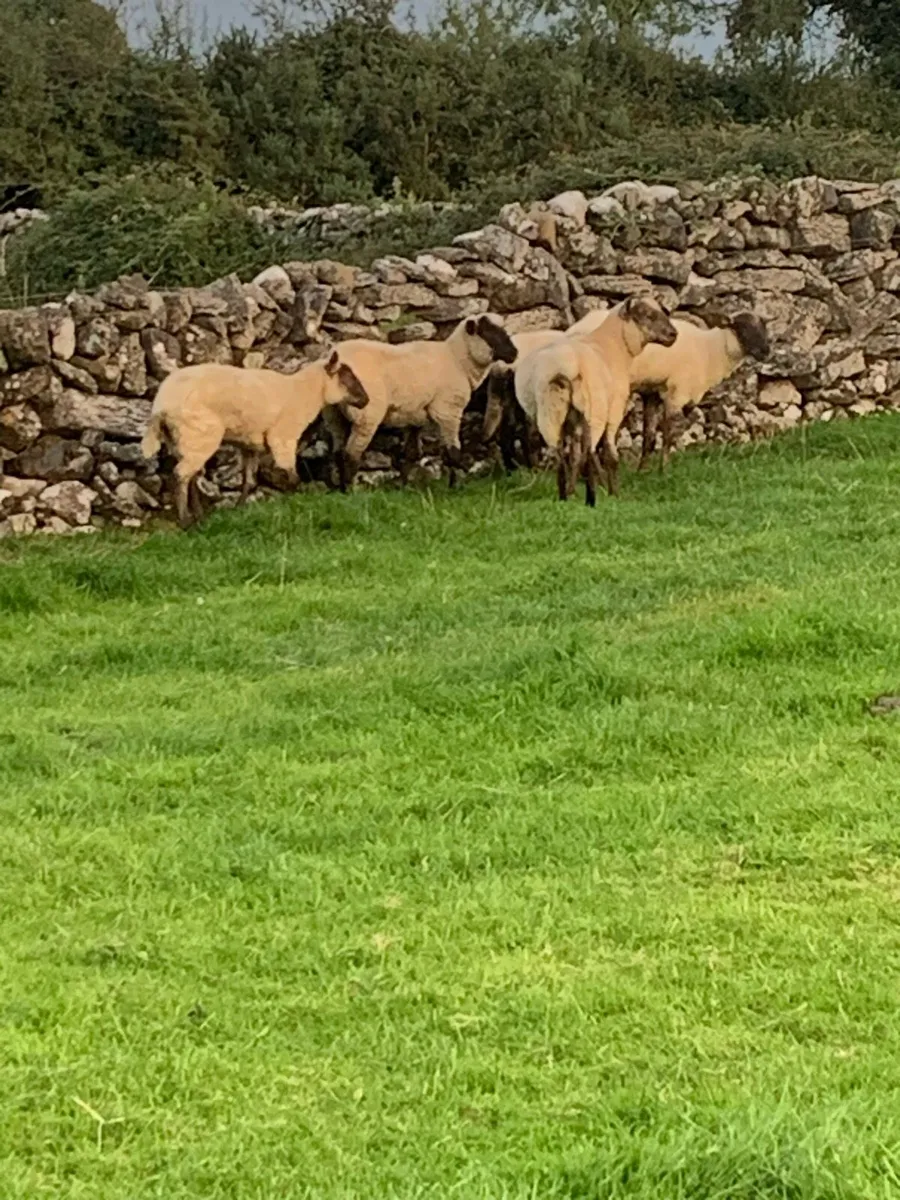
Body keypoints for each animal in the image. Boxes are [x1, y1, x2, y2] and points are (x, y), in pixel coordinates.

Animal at [140, 350, 370, 528]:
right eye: (346, 376)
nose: (366, 400)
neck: (302, 394)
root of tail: (161, 406)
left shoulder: (250, 444)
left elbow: (249, 481)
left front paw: (240, 510)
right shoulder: (283, 438)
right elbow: (292, 477)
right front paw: (296, 504)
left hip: (183, 440)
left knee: (191, 476)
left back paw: (199, 516)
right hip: (198, 433)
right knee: (180, 475)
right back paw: (186, 521)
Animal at [323, 314, 517, 490]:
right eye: (488, 332)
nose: (514, 353)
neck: (457, 360)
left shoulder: (414, 416)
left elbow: (411, 454)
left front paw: (405, 487)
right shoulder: (447, 411)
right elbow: (453, 453)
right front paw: (455, 487)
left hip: (333, 416)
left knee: (337, 452)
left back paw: (340, 490)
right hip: (366, 415)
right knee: (350, 455)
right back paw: (350, 492)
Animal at [515, 295, 677, 505]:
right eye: (648, 315)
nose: (674, 334)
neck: (613, 346)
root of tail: (563, 368)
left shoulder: (573, 419)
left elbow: (575, 455)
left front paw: (574, 490)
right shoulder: (615, 408)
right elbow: (609, 453)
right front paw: (614, 493)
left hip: (550, 414)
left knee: (560, 456)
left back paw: (565, 496)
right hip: (594, 410)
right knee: (590, 452)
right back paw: (592, 495)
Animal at [631, 312, 770, 470]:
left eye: (764, 327)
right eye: (743, 328)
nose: (766, 351)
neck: (709, 350)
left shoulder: (652, 392)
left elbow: (649, 435)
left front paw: (643, 470)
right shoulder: (677, 393)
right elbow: (668, 434)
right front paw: (663, 469)